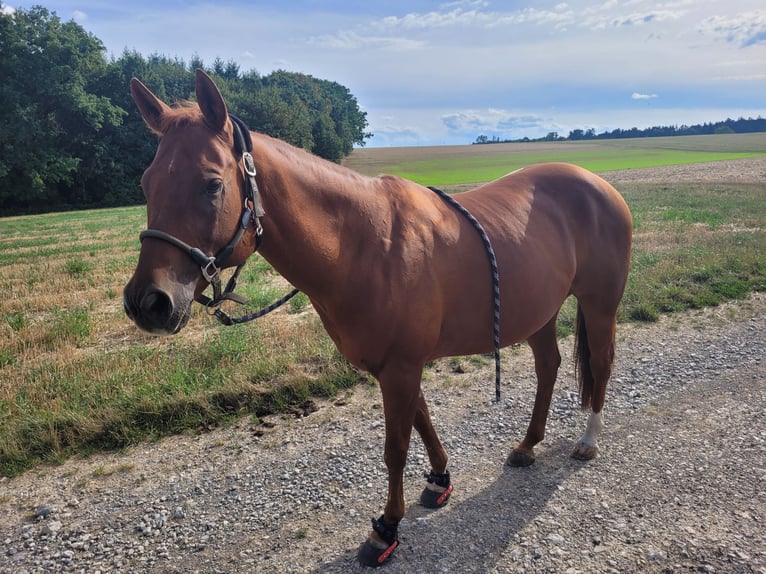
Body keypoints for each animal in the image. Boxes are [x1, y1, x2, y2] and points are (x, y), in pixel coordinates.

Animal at [123, 69, 632, 567]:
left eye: (212, 184)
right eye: (146, 183)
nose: (148, 302)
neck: (366, 244)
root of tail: (599, 184)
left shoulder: (401, 367)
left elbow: (396, 449)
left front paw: (386, 529)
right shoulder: (396, 366)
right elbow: (422, 421)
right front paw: (439, 481)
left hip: (599, 303)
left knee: (601, 363)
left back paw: (588, 440)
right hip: (539, 312)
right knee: (549, 367)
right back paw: (527, 445)